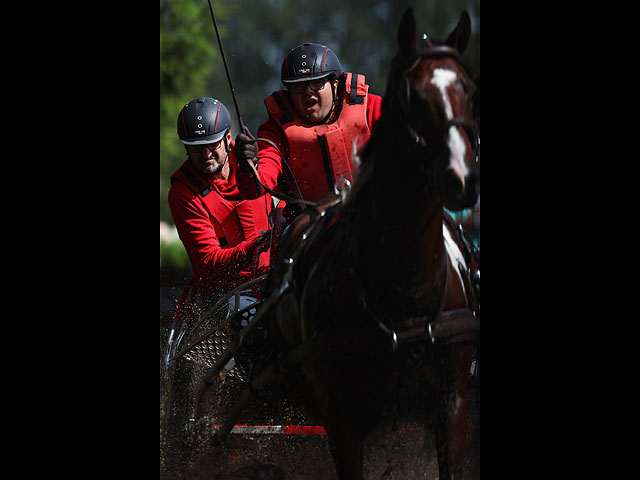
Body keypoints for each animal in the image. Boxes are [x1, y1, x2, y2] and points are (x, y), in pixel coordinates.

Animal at [202, 5, 478, 478]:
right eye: (410, 93)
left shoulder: (453, 410)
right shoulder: (343, 421)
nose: (459, 177)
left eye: (468, 88)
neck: (406, 291)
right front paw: (249, 157)